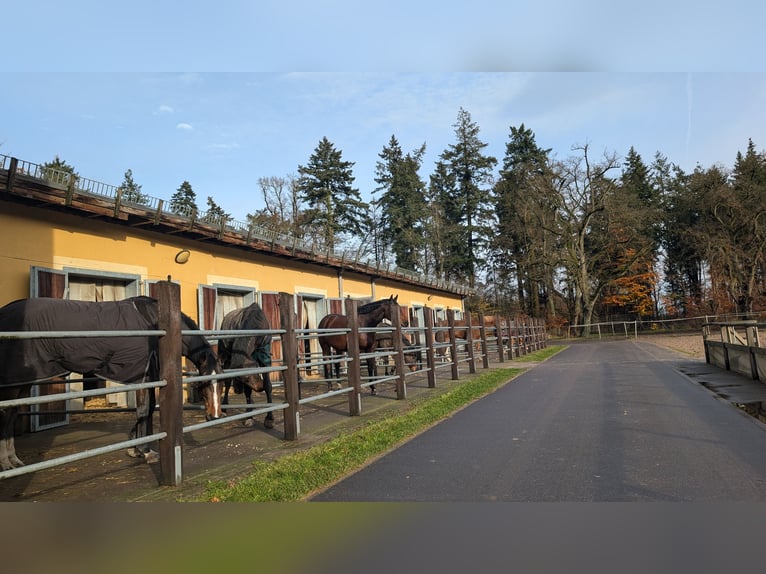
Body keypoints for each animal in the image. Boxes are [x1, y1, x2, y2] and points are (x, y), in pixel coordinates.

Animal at [0, 294, 225, 470]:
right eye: (204, 385)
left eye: (221, 385)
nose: (213, 416)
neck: (155, 325)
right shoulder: (142, 376)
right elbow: (144, 410)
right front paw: (144, 451)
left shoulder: (150, 378)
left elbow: (149, 409)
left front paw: (135, 447)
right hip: (14, 383)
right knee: (6, 414)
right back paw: (6, 463)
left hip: (24, 382)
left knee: (12, 413)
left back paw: (14, 460)